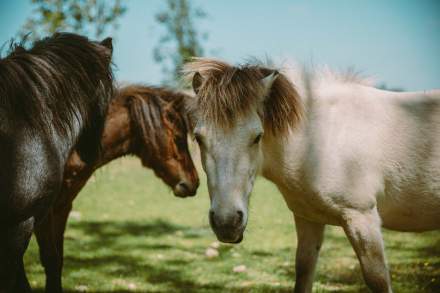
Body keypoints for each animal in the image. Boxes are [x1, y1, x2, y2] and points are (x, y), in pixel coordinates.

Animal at [182, 57, 440, 292]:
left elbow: (377, 279)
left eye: (257, 137)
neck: (317, 142)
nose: (226, 223)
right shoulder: (308, 219)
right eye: (198, 138)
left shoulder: (362, 219)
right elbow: (304, 271)